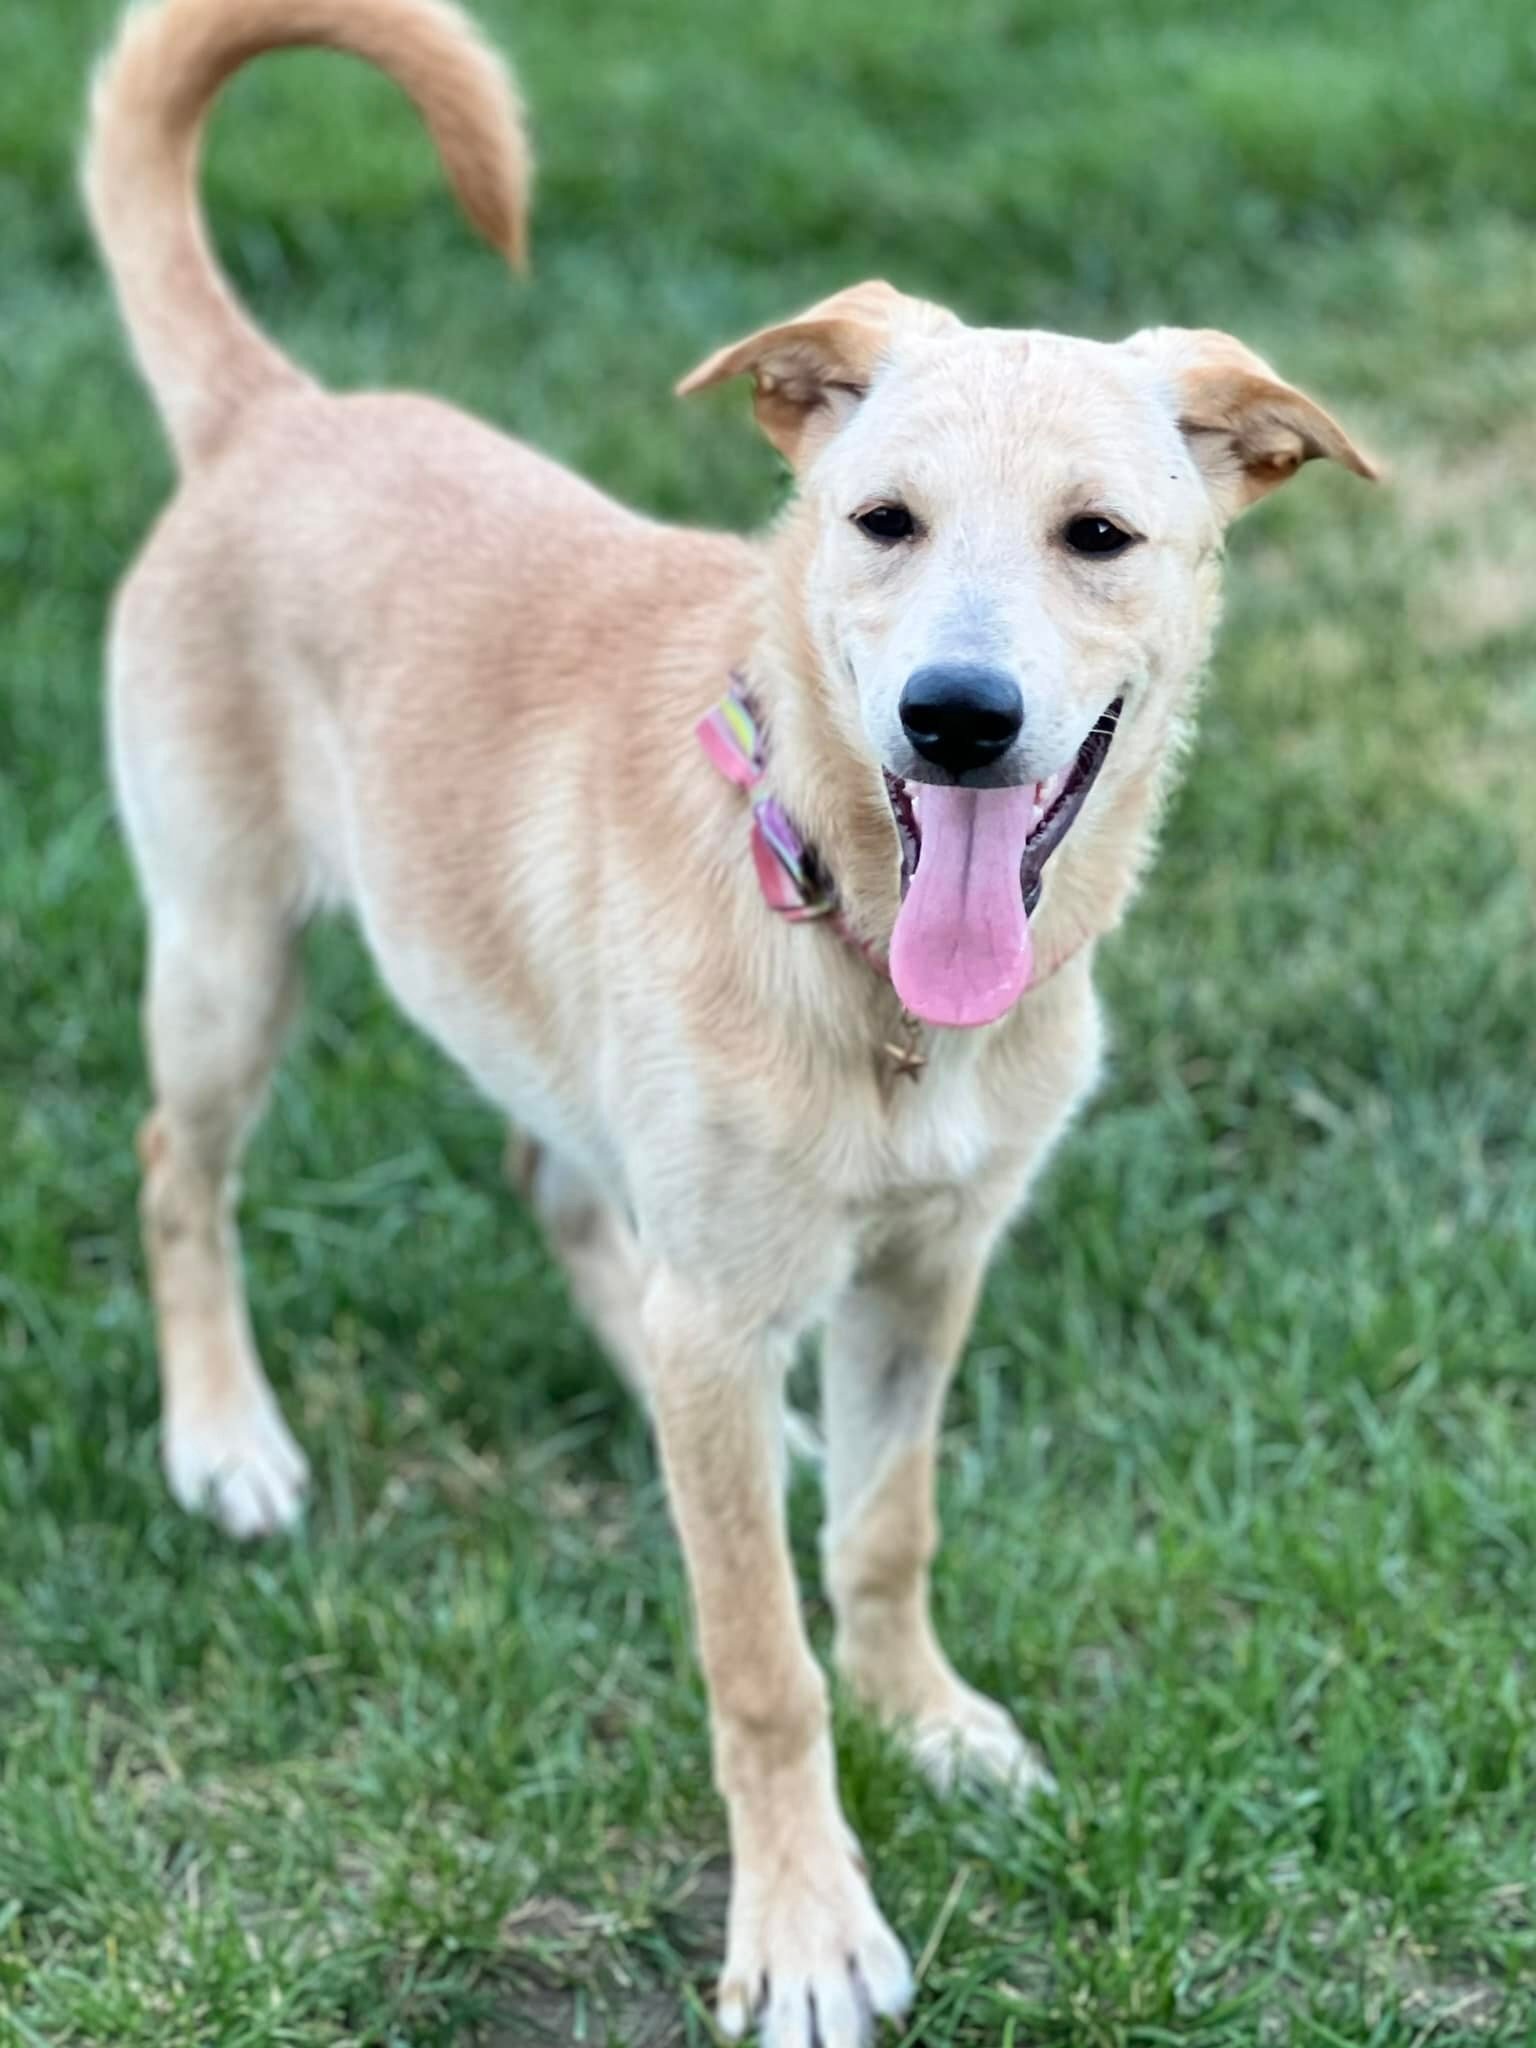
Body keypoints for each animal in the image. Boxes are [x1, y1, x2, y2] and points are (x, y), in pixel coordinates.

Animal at [87, 4, 1384, 2048]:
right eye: (880, 522)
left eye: (1099, 535)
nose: (955, 715)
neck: (854, 938)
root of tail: (276, 414)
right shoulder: (740, 1290)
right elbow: (758, 1660)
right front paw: (804, 1927)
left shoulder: (930, 1269)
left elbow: (884, 1536)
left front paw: (930, 1722)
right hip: (226, 955)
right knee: (177, 1177)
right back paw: (225, 1439)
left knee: (572, 1200)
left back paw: (747, 1427)